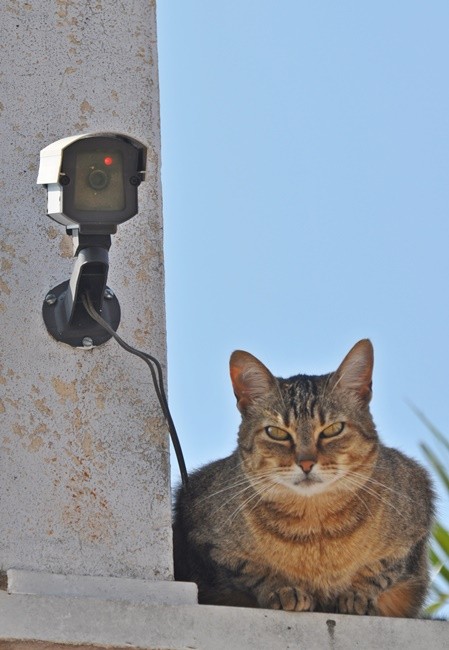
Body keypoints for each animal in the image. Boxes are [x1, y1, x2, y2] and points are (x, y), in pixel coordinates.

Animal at [172, 342, 434, 616]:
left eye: (333, 429)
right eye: (276, 432)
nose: (306, 463)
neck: (314, 526)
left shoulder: (415, 519)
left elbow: (380, 571)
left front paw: (357, 595)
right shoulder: (205, 533)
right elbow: (252, 571)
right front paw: (282, 589)